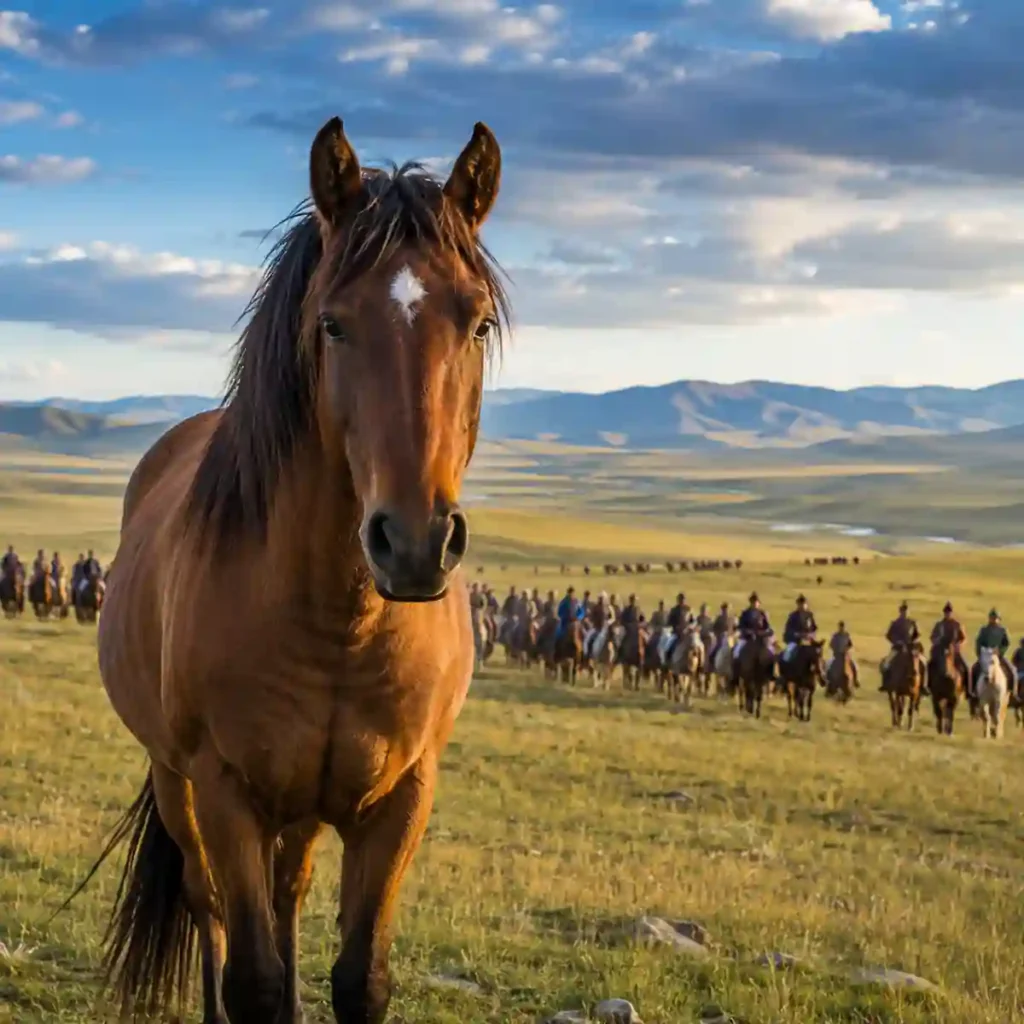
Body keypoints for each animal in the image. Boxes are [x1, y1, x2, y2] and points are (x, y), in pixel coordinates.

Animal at [71, 118, 509, 1024]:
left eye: (479, 324)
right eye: (334, 325)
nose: (415, 541)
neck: (340, 618)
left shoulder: (401, 799)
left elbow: (360, 977)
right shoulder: (226, 790)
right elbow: (253, 978)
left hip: (303, 804)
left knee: (288, 891)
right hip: (177, 782)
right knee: (208, 905)